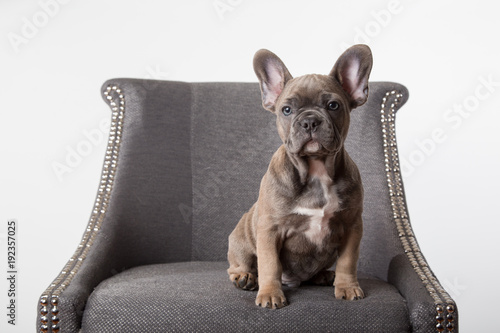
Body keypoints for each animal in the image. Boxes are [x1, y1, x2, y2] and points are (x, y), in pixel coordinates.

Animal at [227, 44, 372, 308]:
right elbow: (270, 264)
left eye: (333, 106)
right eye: (287, 110)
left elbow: (348, 261)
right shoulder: (270, 230)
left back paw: (325, 275)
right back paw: (245, 278)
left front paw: (347, 287)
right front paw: (270, 294)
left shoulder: (352, 225)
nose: (310, 121)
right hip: (241, 239)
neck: (315, 170)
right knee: (241, 264)